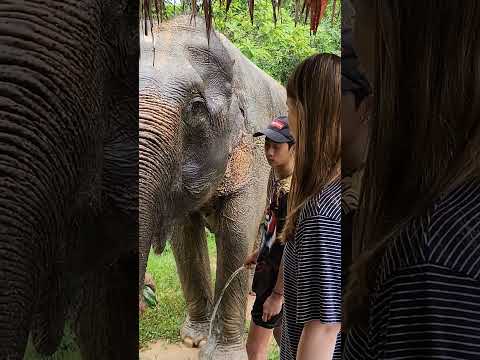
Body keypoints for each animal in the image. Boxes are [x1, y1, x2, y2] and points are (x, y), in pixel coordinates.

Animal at [139, 14, 286, 360]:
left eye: (195, 107)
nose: (148, 292)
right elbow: (185, 238)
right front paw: (193, 340)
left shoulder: (255, 149)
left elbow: (236, 235)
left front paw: (221, 353)